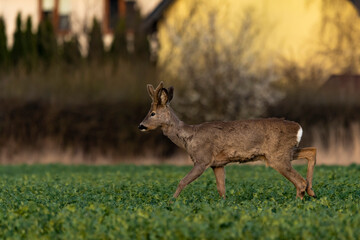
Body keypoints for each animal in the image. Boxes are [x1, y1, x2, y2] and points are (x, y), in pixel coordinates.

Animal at [138, 82, 316, 199]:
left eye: (152, 113)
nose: (141, 126)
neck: (189, 137)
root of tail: (298, 128)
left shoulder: (202, 160)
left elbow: (182, 182)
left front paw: (171, 202)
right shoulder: (218, 164)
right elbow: (221, 189)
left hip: (277, 155)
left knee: (300, 181)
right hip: (286, 151)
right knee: (311, 152)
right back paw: (311, 192)